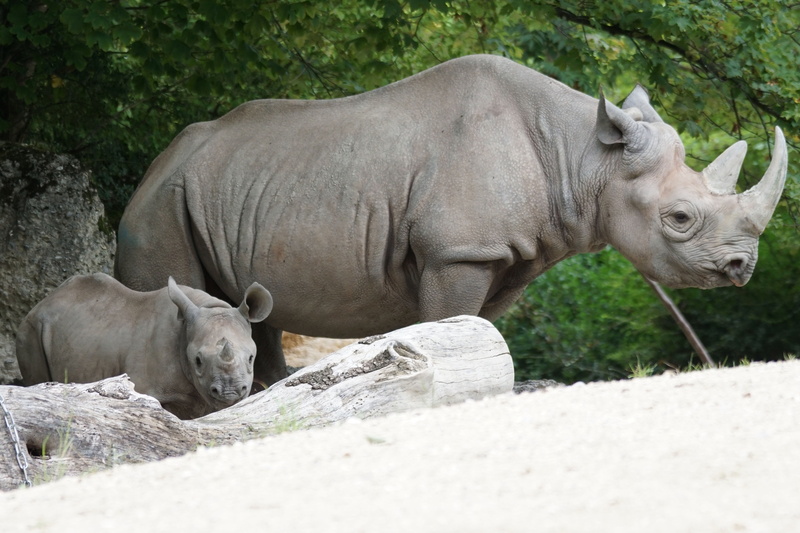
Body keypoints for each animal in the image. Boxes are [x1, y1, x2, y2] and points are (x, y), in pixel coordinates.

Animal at [115, 54, 788, 387]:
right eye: (680, 217)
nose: (743, 267)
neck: (583, 158)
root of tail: (153, 169)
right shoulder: (457, 251)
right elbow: (449, 324)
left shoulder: (501, 253)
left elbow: (476, 330)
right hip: (161, 206)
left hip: (216, 190)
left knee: (256, 311)